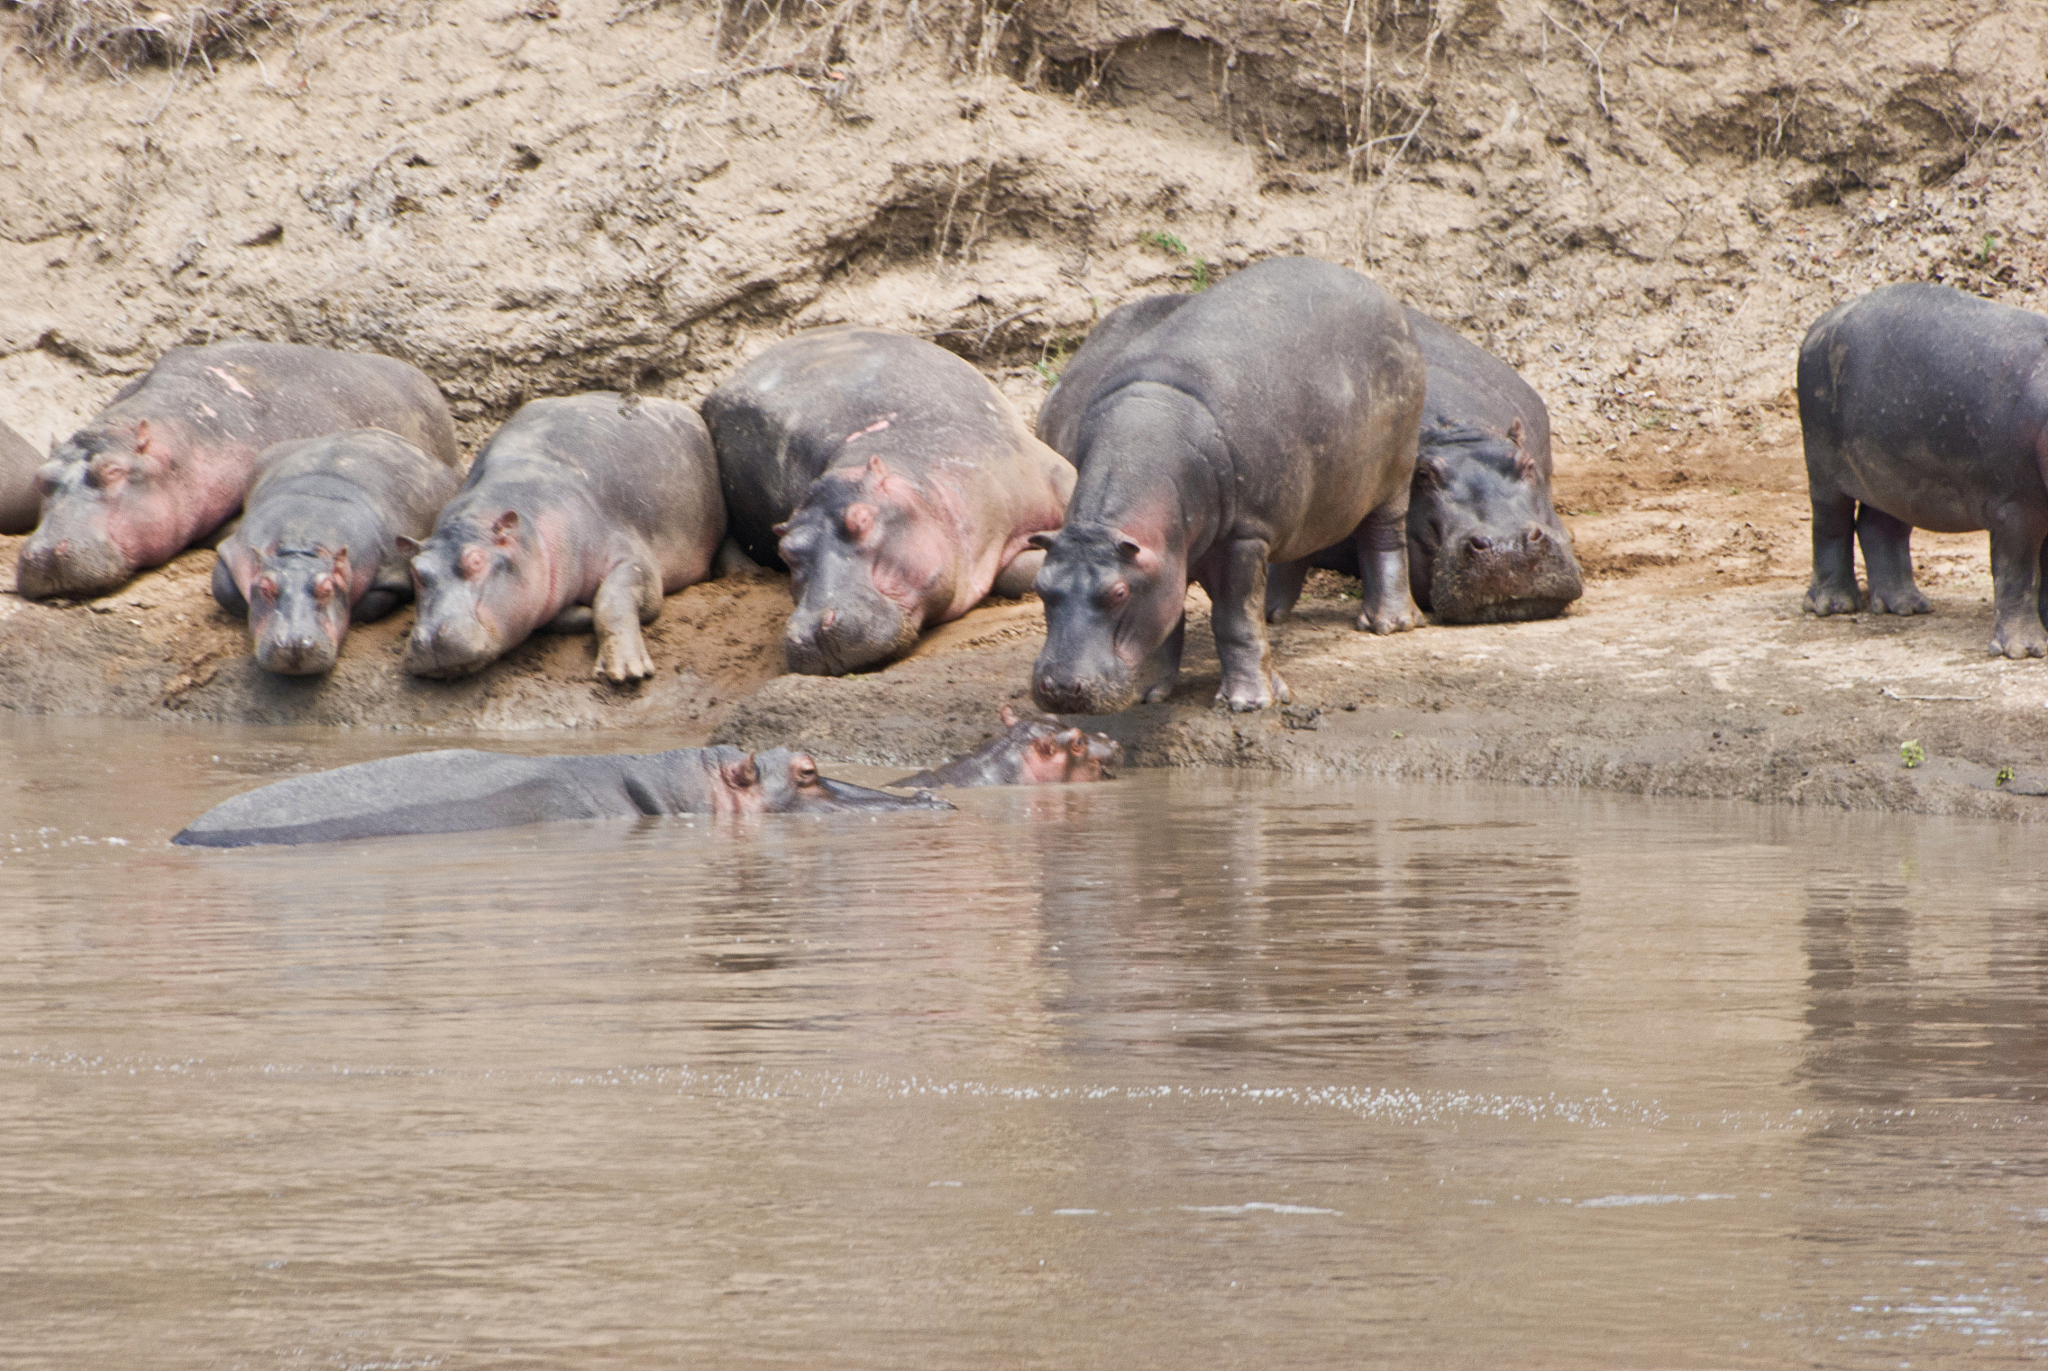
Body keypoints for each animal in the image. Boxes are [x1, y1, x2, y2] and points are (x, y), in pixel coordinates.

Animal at [211, 429, 462, 675]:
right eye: (265, 588)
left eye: (327, 589)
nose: (293, 644)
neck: (302, 544)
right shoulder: (237, 550)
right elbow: (224, 589)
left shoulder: (391, 571)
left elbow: (373, 601)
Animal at [402, 393, 724, 684]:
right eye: (416, 570)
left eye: (476, 560)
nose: (429, 639)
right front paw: (583, 612)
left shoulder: (631, 556)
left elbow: (612, 599)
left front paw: (626, 671)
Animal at [1030, 257, 1426, 714]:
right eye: (1040, 586)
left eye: (1117, 593)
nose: (1059, 688)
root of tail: (1379, 291)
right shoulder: (1170, 553)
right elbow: (1172, 616)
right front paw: (1152, 692)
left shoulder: (1244, 535)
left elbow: (1235, 619)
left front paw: (1249, 702)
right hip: (1302, 501)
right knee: (1295, 550)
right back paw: (1275, 613)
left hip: (1395, 474)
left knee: (1385, 537)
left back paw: (1386, 624)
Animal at [1800, 283, 2048, 658]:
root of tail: (1821, 321)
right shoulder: (2015, 507)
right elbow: (2017, 572)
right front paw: (2024, 651)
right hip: (1824, 468)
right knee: (1830, 524)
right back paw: (1833, 606)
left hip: (1894, 477)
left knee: (1878, 527)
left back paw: (1906, 606)